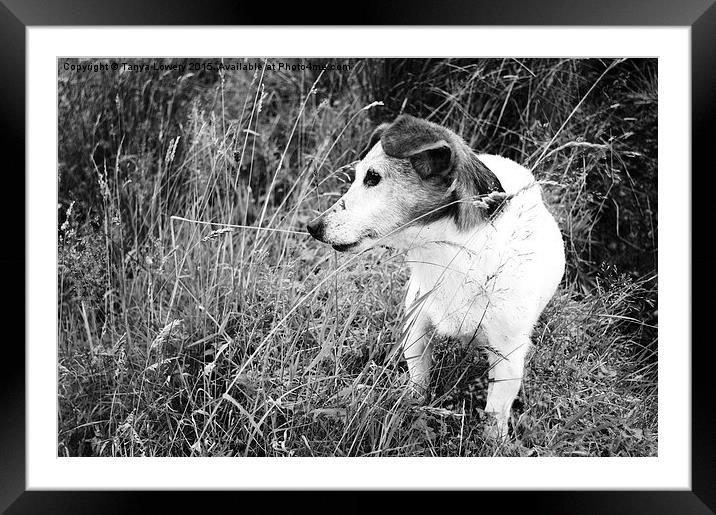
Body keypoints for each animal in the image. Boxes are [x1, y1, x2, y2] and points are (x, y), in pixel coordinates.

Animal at [304, 115, 564, 438]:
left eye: (373, 177)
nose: (312, 226)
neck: (456, 253)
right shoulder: (416, 326)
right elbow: (418, 381)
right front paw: (410, 406)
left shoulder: (508, 356)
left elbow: (495, 412)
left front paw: (495, 442)